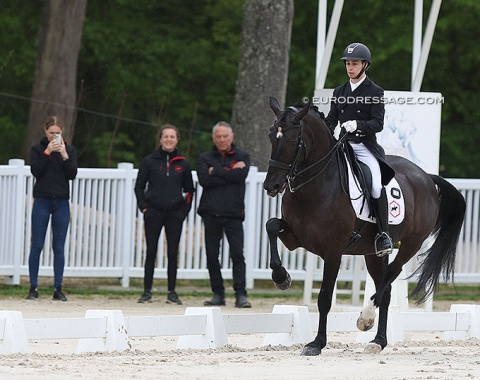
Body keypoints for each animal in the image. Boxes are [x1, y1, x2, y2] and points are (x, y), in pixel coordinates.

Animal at [262, 97, 464, 356]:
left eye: (292, 139)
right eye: (270, 136)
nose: (271, 186)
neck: (316, 184)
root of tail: (426, 177)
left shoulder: (333, 251)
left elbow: (324, 298)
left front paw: (317, 343)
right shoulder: (295, 238)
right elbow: (271, 226)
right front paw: (281, 278)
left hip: (411, 244)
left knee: (390, 278)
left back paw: (365, 318)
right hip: (373, 253)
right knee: (386, 291)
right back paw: (378, 341)